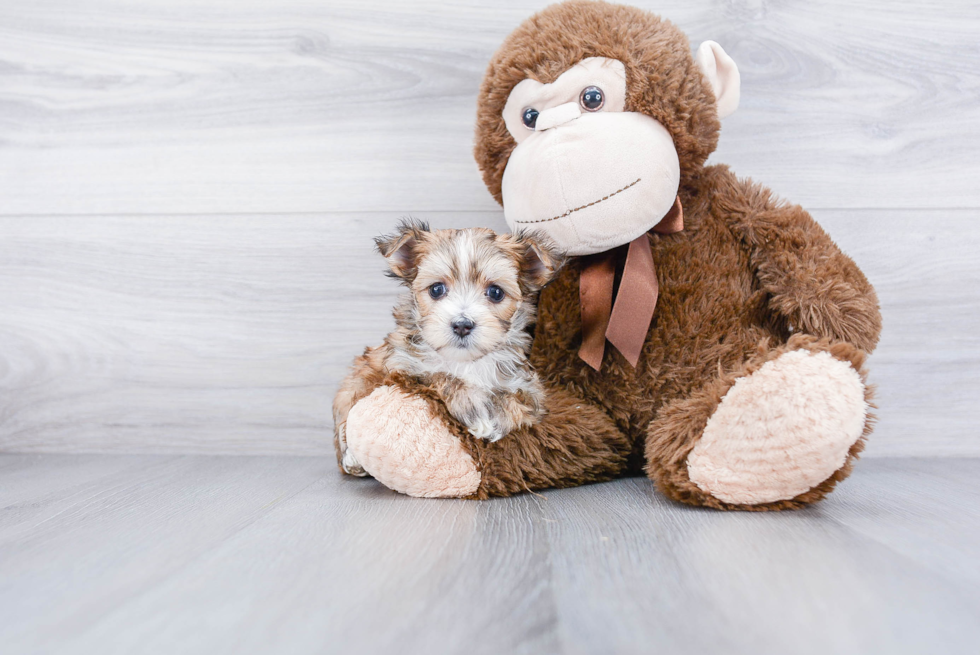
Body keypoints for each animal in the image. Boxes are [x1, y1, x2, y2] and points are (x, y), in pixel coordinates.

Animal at [334, 220, 564, 476]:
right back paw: (352, 457)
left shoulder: (528, 385)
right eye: (436, 289)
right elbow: (440, 376)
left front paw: (497, 418)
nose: (462, 325)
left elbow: (521, 401)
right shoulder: (402, 368)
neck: (465, 362)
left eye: (495, 292)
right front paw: (476, 409)